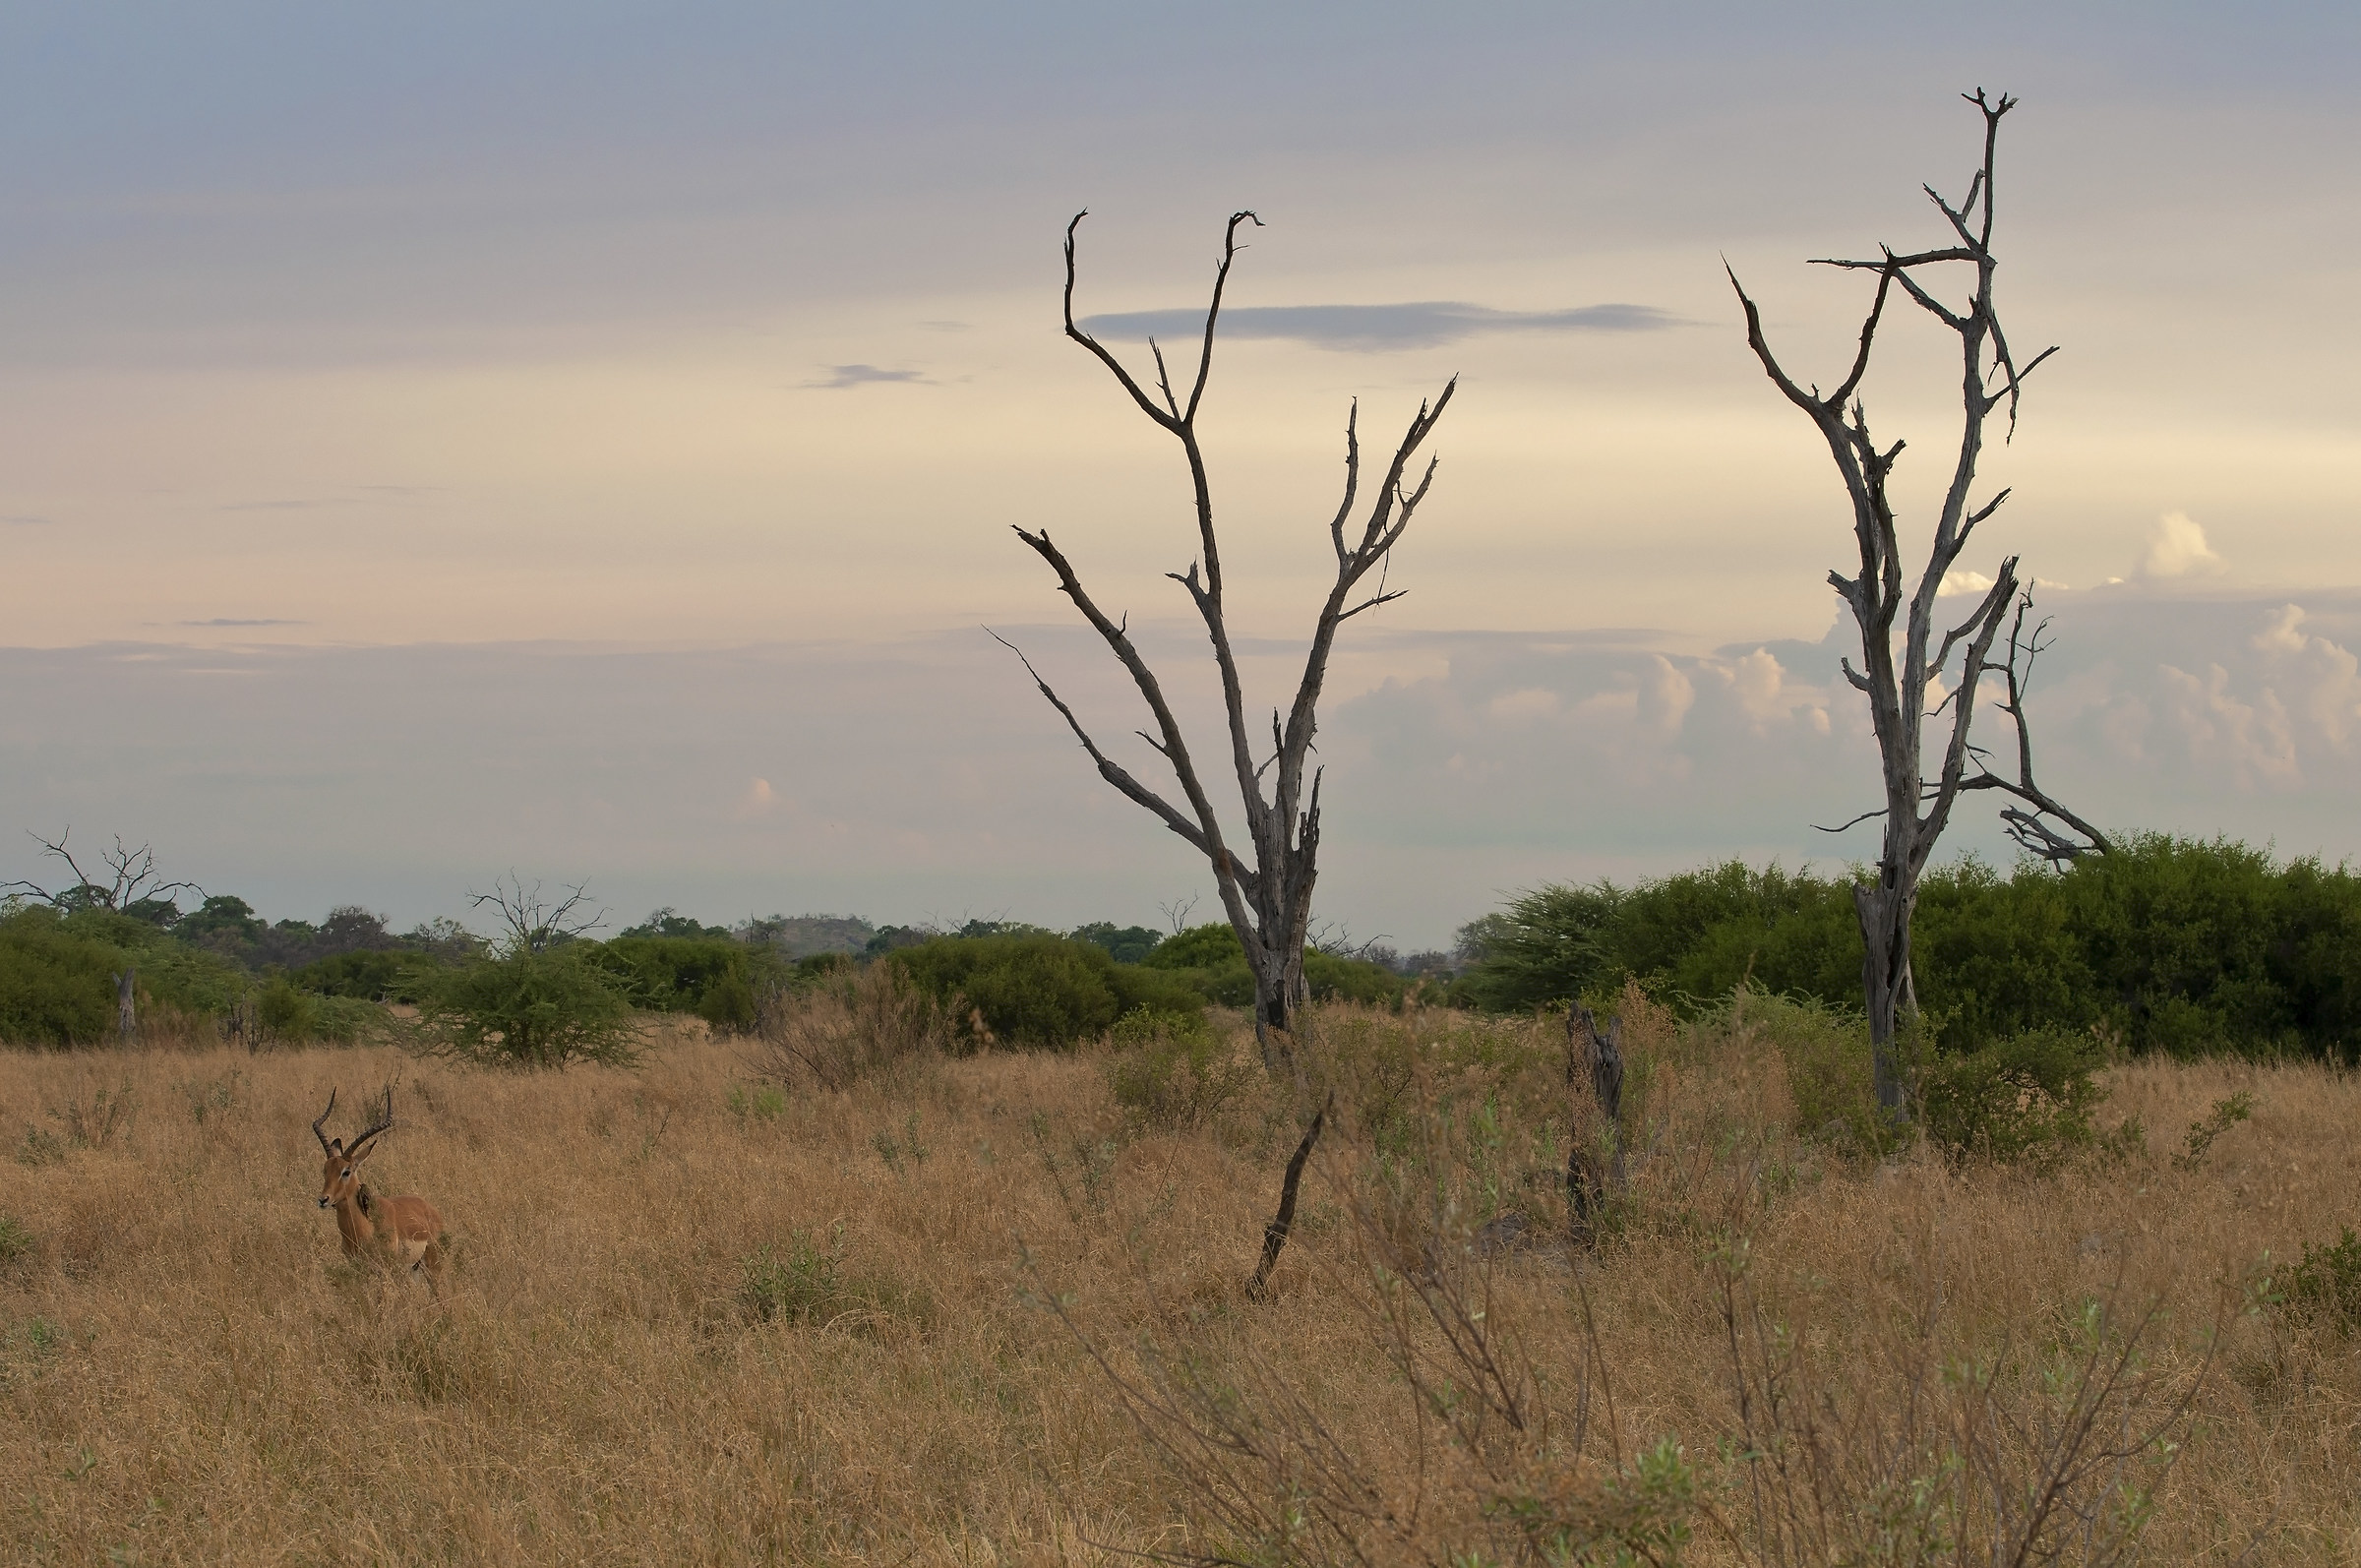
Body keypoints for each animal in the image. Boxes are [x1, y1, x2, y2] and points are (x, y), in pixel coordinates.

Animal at [313, 1086, 446, 1289]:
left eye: (346, 1171)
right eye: (325, 1169)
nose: (323, 1199)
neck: (365, 1229)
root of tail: (430, 1208)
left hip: (431, 1266)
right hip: (414, 1270)